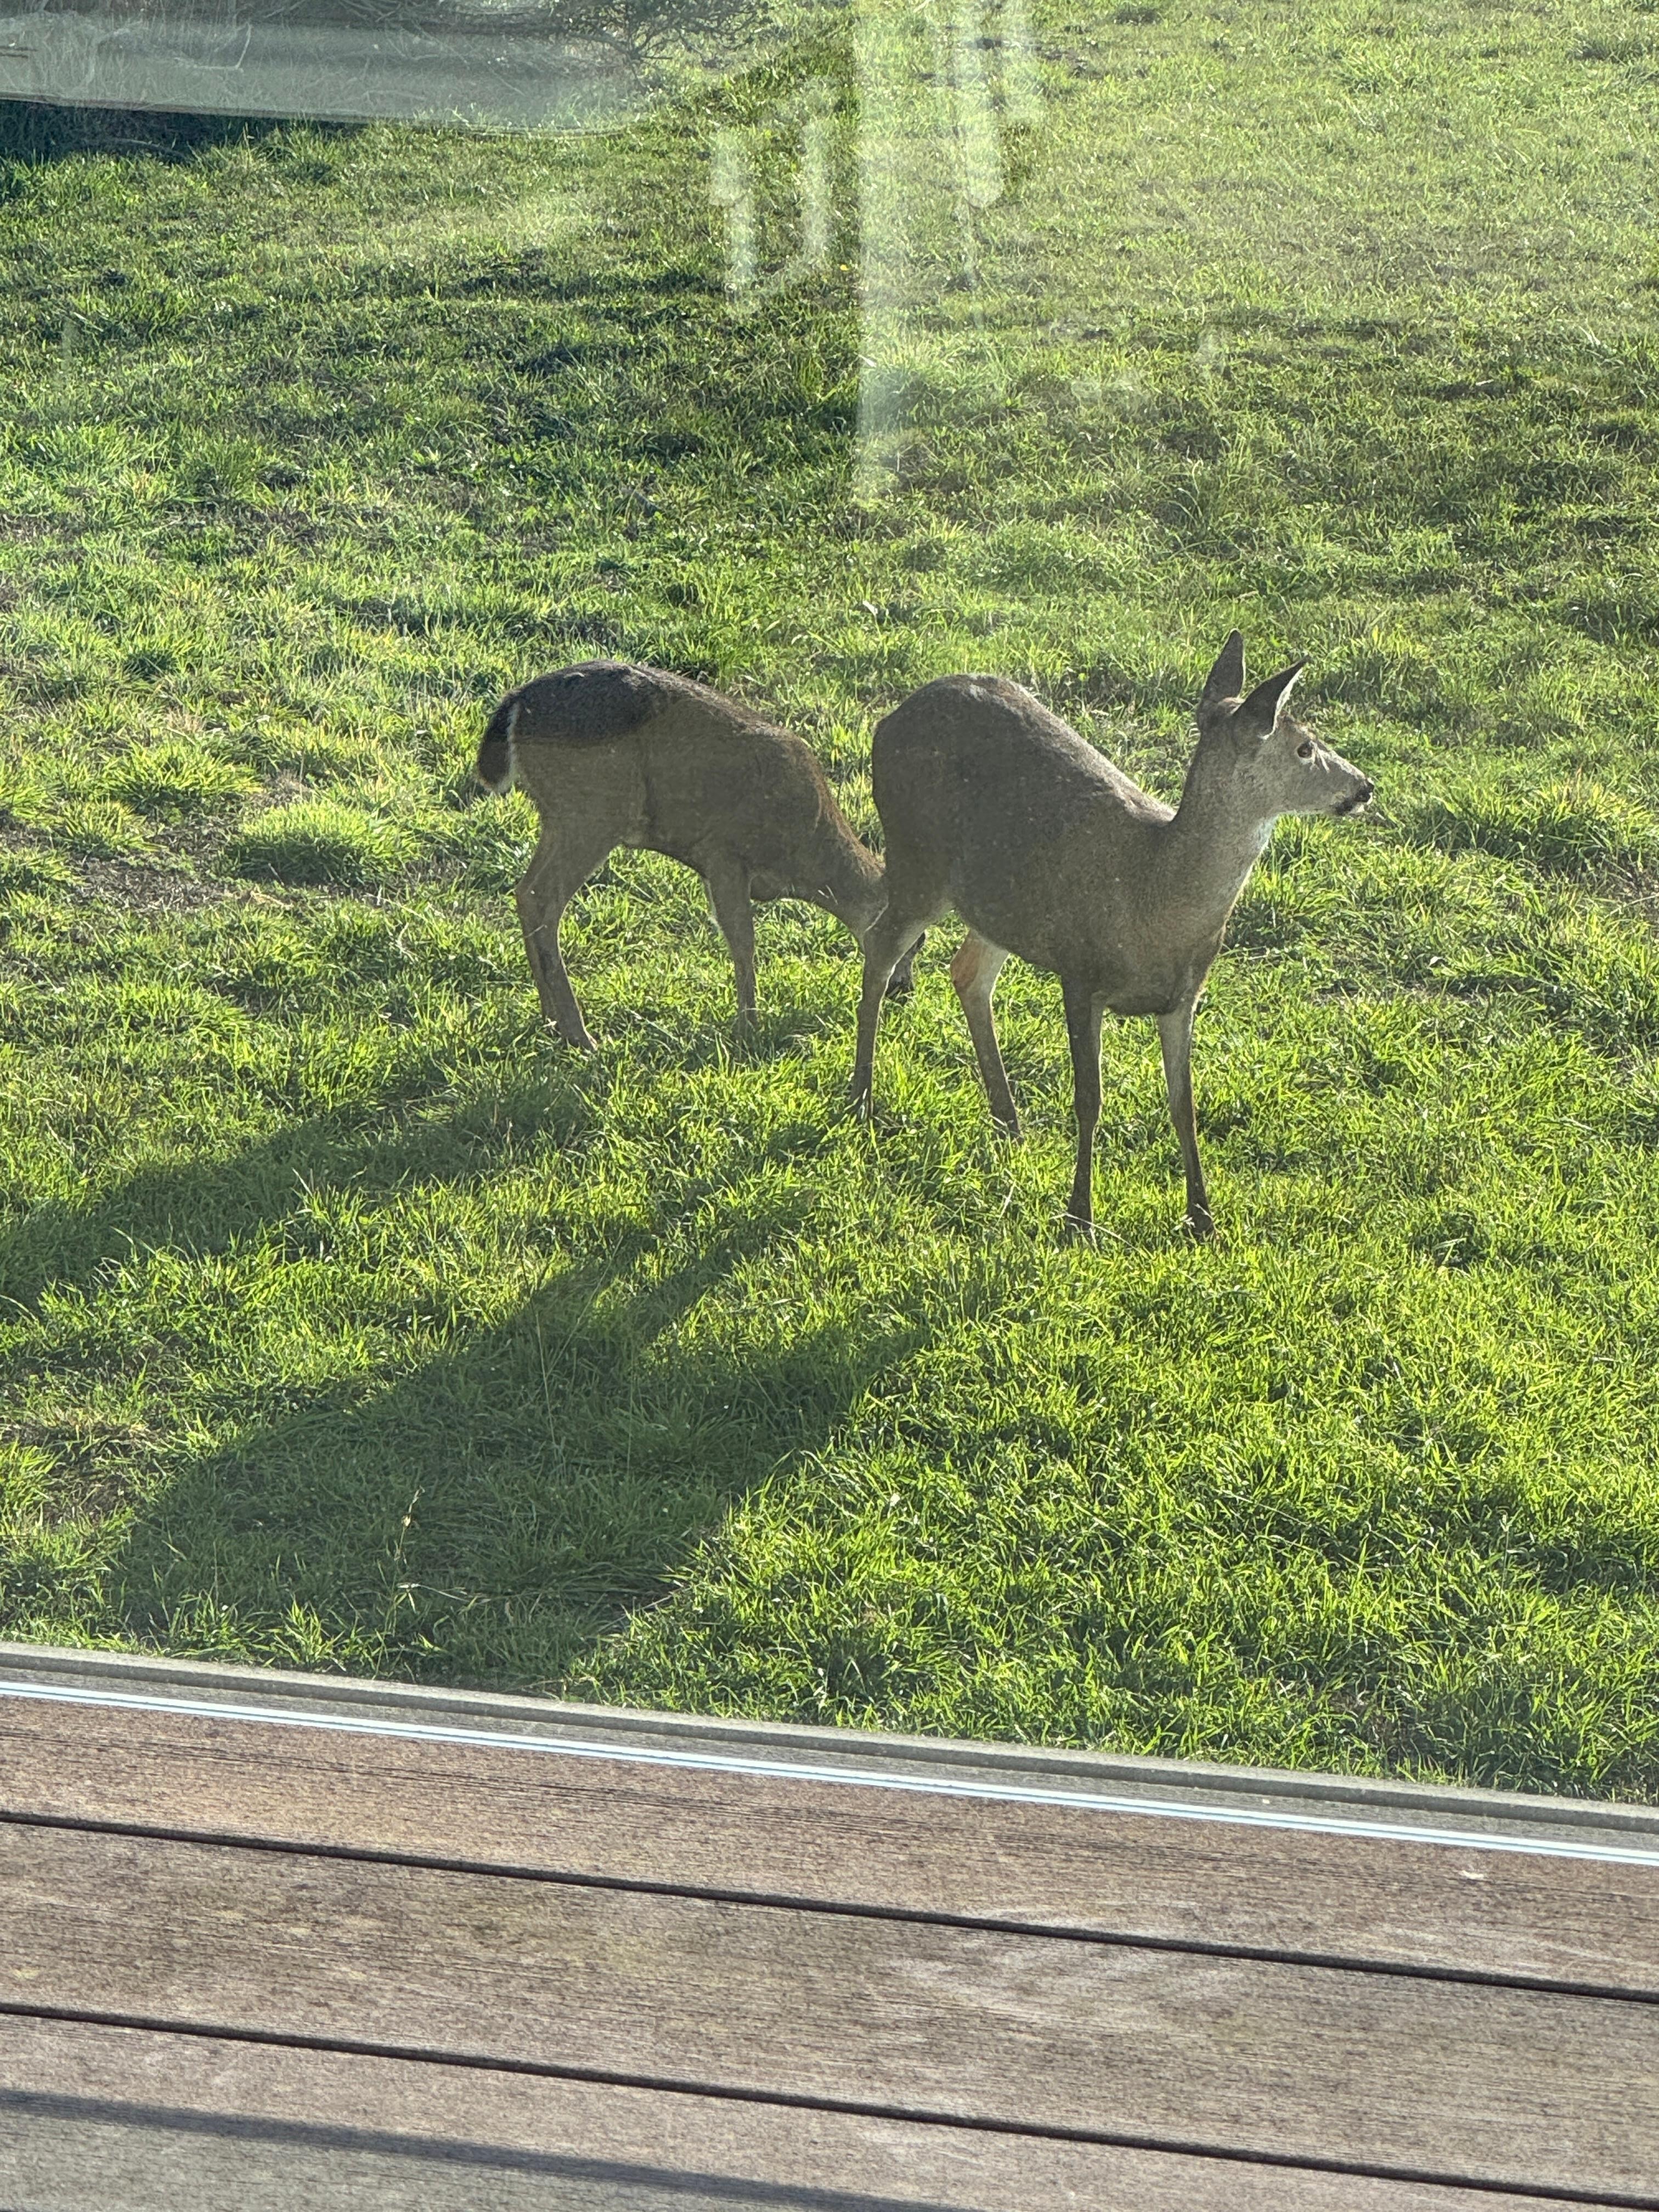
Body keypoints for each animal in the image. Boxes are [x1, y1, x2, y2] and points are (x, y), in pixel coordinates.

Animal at [476, 660, 917, 1047]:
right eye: (917, 941)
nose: (903, 990)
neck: (804, 851)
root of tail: (516, 706)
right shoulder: (723, 853)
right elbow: (743, 939)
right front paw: (749, 1028)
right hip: (594, 809)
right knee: (543, 897)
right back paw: (579, 1034)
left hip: (560, 814)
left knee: (525, 891)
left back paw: (550, 1018)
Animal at [848, 632, 1374, 1238]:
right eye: (1305, 747)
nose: (1365, 787)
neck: (1157, 898)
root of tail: (889, 719)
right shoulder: (1081, 972)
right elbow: (1089, 1099)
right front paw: (1080, 1216)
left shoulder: (1185, 996)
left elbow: (1184, 1103)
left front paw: (1203, 1217)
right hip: (918, 858)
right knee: (880, 947)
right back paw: (861, 1099)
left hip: (998, 902)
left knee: (967, 974)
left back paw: (1009, 1122)